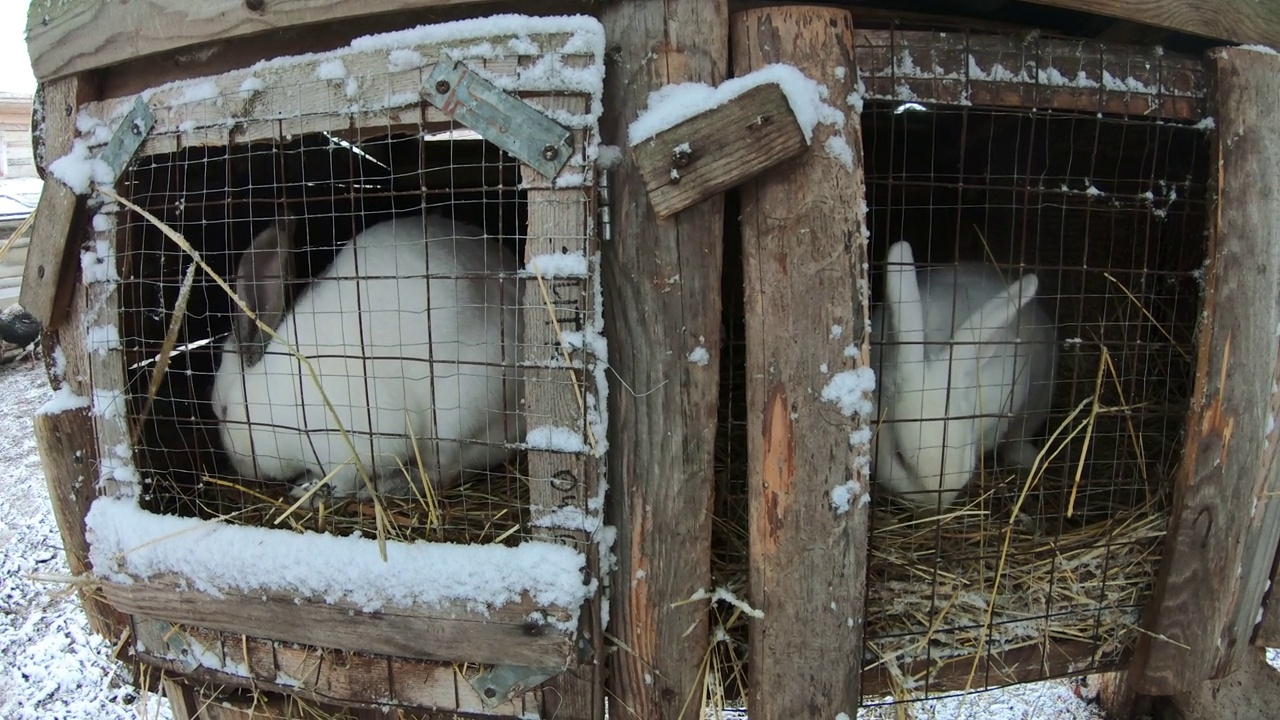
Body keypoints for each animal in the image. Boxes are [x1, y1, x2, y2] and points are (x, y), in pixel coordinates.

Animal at [212, 207, 522, 499]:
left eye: (224, 411)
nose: (240, 466)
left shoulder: (347, 446)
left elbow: (342, 481)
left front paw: (310, 494)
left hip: (456, 421)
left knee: (443, 471)